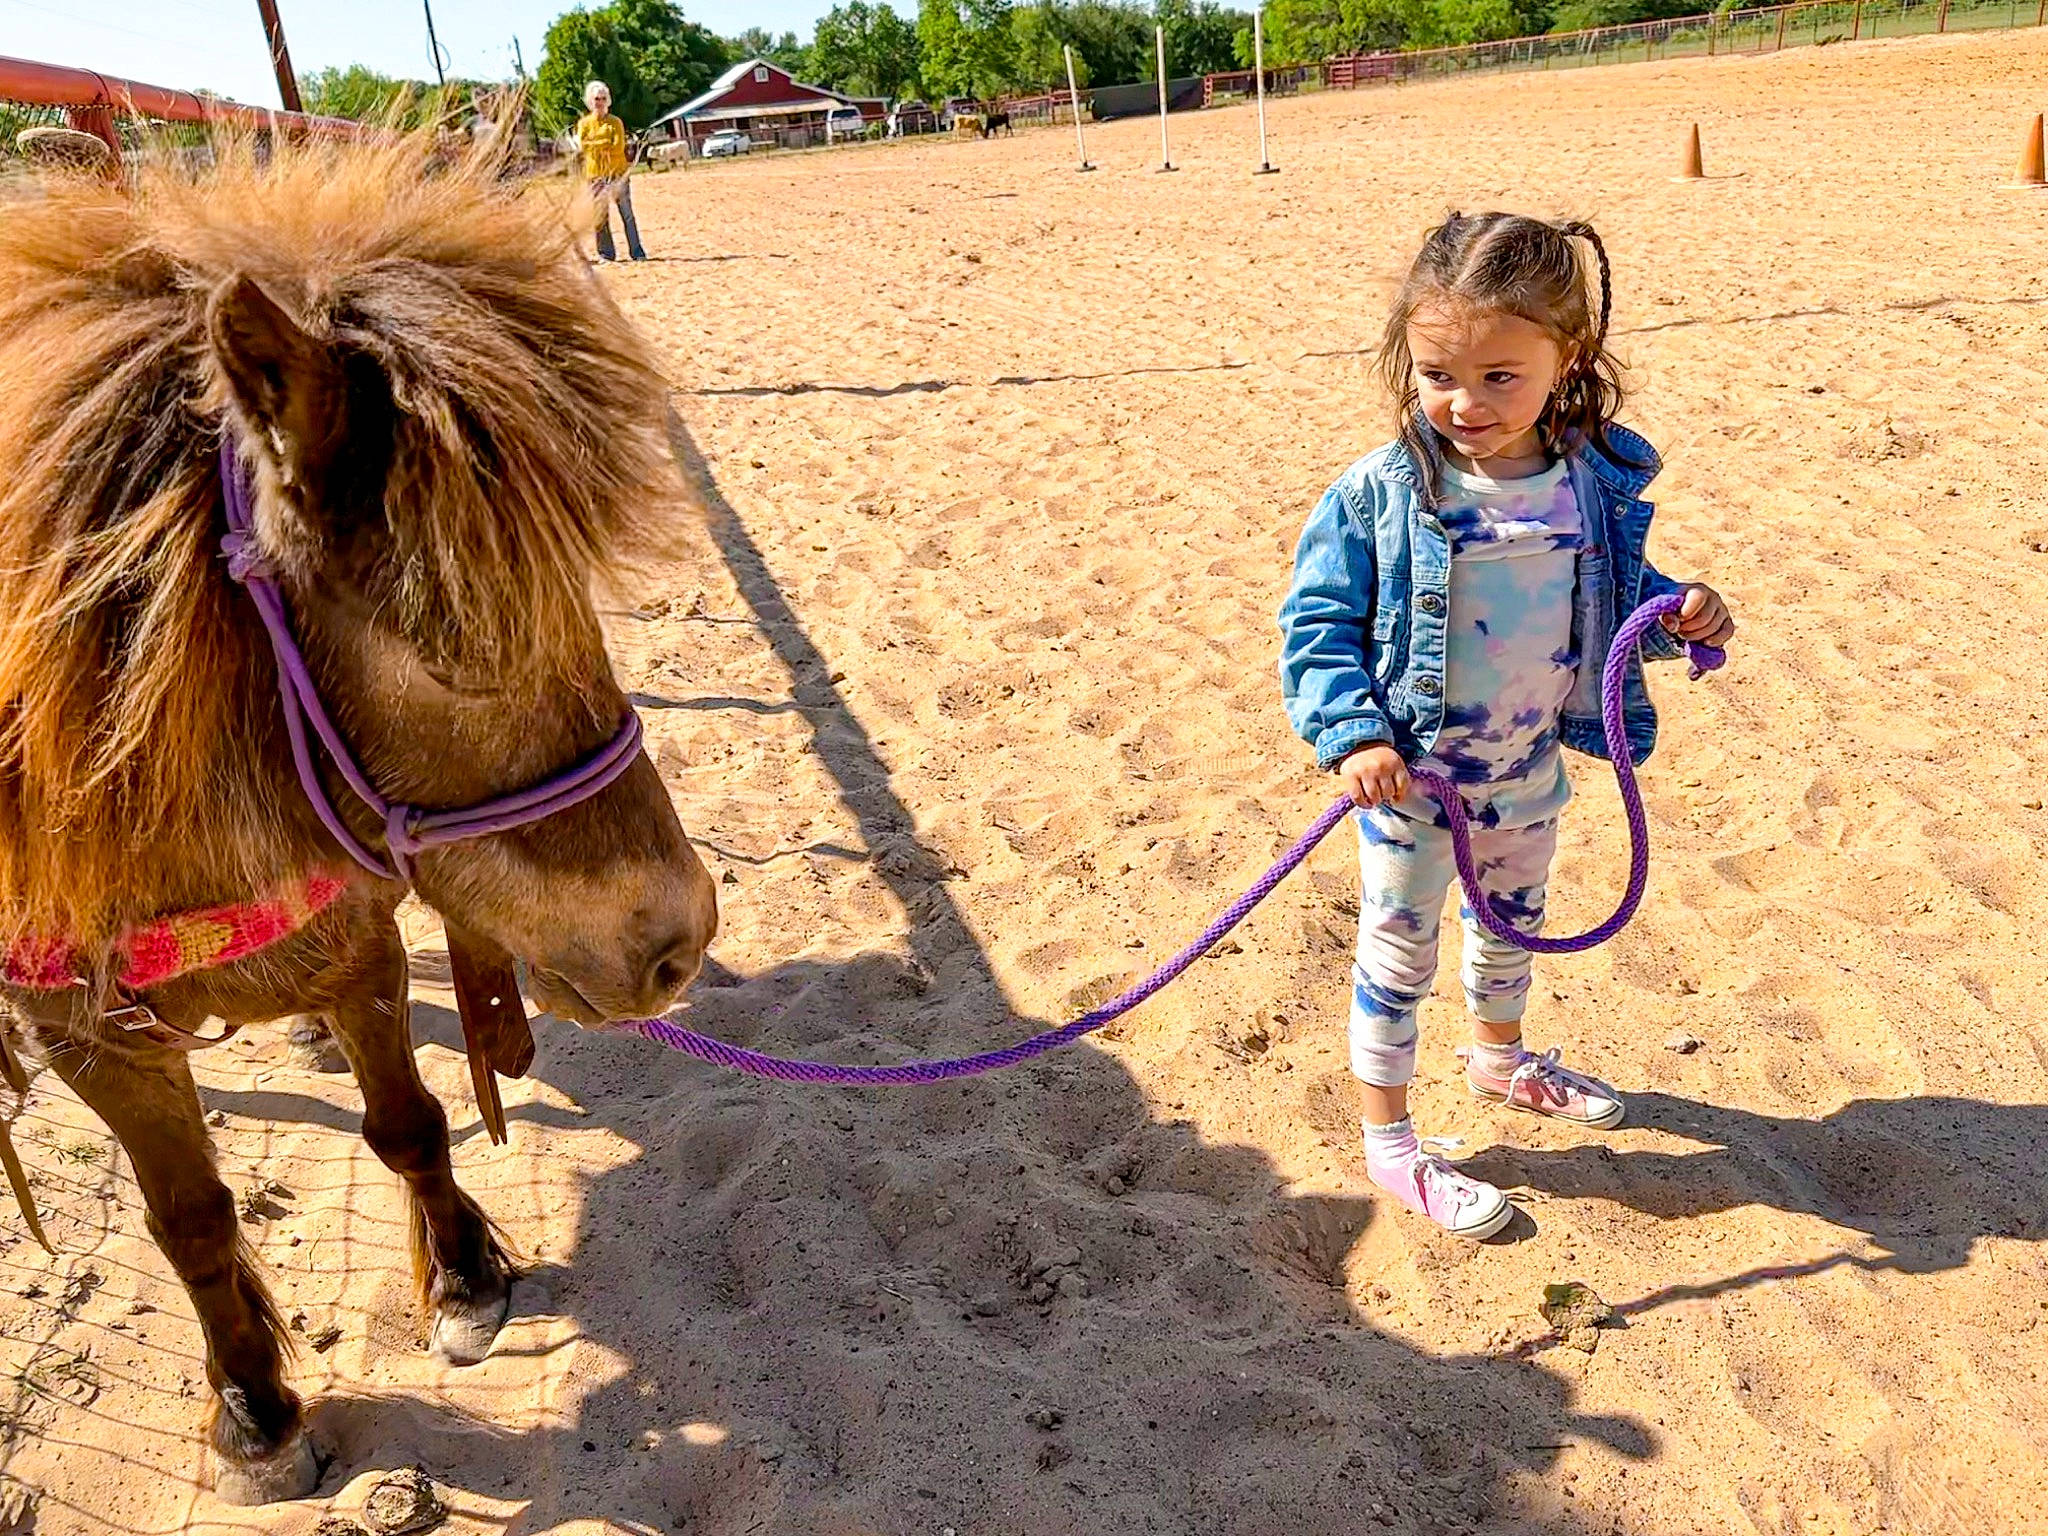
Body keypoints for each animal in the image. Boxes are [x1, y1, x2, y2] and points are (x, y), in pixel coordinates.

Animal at [0, 134, 719, 1503]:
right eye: (451, 653)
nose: (679, 939)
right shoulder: (86, 1037)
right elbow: (190, 1222)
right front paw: (253, 1407)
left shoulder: (358, 941)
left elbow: (410, 1122)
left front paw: (466, 1279)